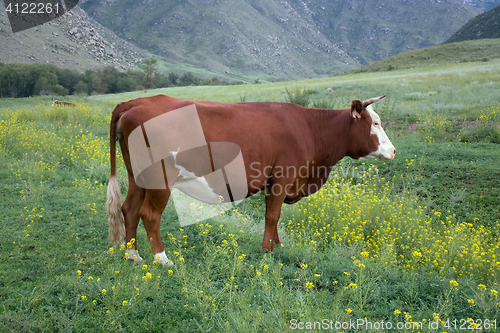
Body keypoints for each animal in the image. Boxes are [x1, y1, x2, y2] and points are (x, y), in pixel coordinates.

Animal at [105, 93, 394, 264]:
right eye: (375, 123)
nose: (392, 150)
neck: (309, 129)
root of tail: (139, 101)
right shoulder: (282, 177)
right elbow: (272, 215)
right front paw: (268, 250)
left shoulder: (276, 183)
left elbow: (275, 216)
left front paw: (278, 244)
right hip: (160, 178)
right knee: (149, 214)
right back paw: (162, 259)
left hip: (137, 176)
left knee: (129, 209)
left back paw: (133, 256)